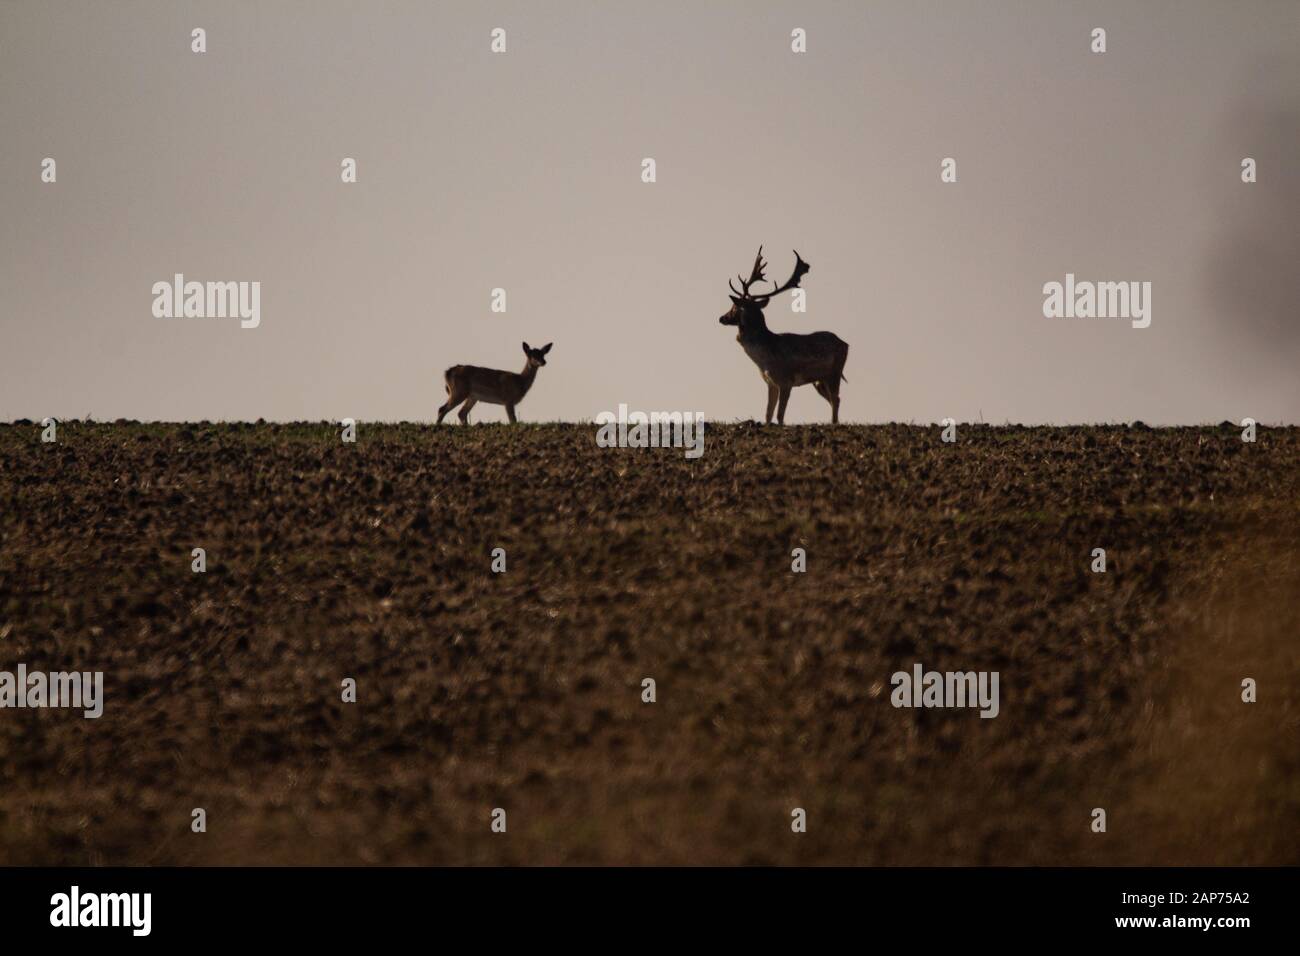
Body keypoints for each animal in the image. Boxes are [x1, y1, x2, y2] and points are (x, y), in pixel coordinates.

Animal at [717, 248, 847, 424]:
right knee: (833, 399)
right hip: (820, 380)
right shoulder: (770, 382)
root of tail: (846, 344)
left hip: (834, 372)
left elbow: (780, 415)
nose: (721, 318)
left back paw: (833, 423)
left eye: (734, 307)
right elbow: (768, 413)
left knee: (836, 398)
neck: (764, 358)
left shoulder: (786, 381)